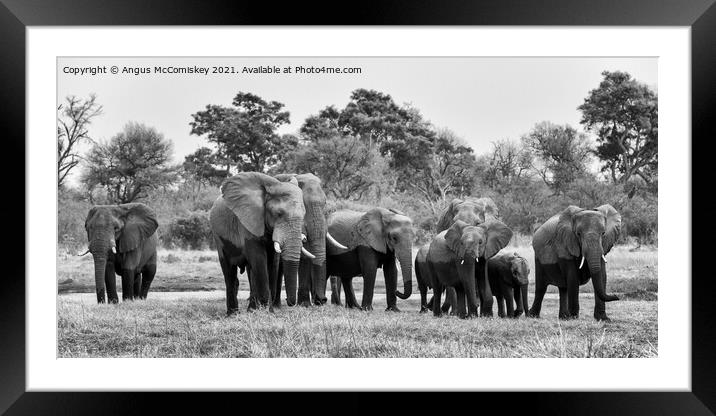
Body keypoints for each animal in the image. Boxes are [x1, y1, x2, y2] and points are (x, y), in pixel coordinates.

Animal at [207, 171, 314, 314]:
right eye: (279, 213)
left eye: (304, 214)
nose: (289, 302)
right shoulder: (247, 222)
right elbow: (259, 259)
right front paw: (266, 311)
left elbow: (272, 262)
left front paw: (269, 312)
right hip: (218, 237)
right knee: (229, 272)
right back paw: (233, 314)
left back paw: (250, 310)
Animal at [272, 172, 346, 306]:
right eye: (303, 206)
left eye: (325, 203)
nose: (323, 300)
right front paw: (304, 304)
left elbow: (305, 257)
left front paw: (305, 304)